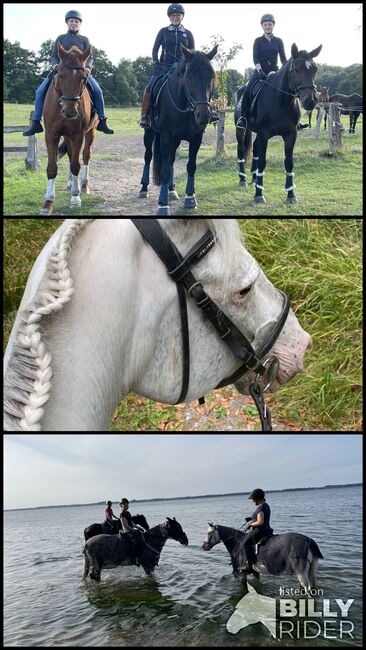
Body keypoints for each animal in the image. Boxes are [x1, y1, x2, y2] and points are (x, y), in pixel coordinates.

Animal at [40, 43, 98, 215]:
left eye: (83, 78)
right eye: (60, 75)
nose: (70, 111)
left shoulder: (78, 135)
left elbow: (75, 165)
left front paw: (75, 198)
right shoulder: (51, 135)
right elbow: (52, 167)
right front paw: (48, 202)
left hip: (90, 132)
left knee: (85, 156)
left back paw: (83, 185)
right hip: (66, 136)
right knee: (72, 154)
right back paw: (71, 183)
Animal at [139, 43, 217, 215]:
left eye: (212, 77)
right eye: (189, 76)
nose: (203, 115)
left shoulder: (196, 138)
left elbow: (191, 166)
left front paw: (190, 198)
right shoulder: (166, 137)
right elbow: (164, 170)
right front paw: (163, 205)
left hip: (175, 141)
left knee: (171, 160)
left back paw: (171, 190)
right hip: (150, 133)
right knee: (148, 157)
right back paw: (144, 188)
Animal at [234, 43, 320, 204]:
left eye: (315, 69)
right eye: (296, 69)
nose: (311, 101)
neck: (282, 100)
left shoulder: (291, 134)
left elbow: (289, 163)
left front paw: (291, 194)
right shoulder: (264, 134)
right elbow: (262, 162)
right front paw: (259, 194)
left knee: (254, 149)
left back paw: (255, 179)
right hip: (241, 129)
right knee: (241, 149)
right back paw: (243, 179)